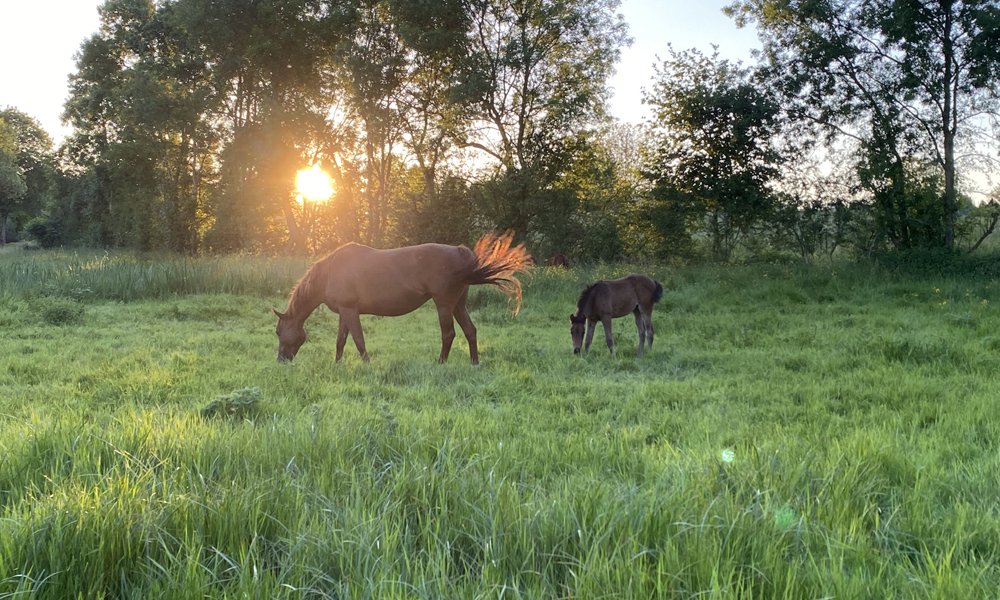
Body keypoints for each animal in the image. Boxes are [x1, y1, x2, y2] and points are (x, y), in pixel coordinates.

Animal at [273, 231, 532, 365]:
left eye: (277, 331)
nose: (281, 360)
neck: (330, 272)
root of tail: (461, 251)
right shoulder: (344, 312)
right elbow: (341, 341)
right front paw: (337, 364)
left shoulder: (350, 310)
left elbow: (358, 340)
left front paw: (366, 364)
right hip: (459, 305)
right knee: (470, 331)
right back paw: (474, 363)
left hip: (444, 304)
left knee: (448, 334)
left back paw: (440, 363)